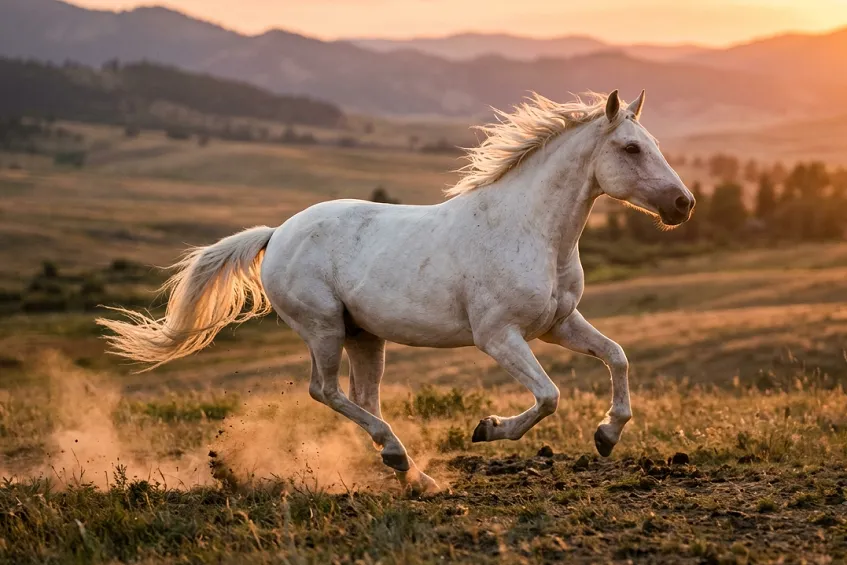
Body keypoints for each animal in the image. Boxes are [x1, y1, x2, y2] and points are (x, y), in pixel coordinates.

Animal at [97, 90, 694, 494]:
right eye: (631, 148)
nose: (683, 205)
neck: (531, 231)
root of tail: (277, 232)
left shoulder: (557, 324)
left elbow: (617, 356)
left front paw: (607, 436)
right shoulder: (499, 336)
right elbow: (548, 396)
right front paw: (487, 429)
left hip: (365, 336)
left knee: (363, 397)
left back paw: (415, 475)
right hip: (324, 328)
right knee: (325, 391)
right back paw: (399, 458)